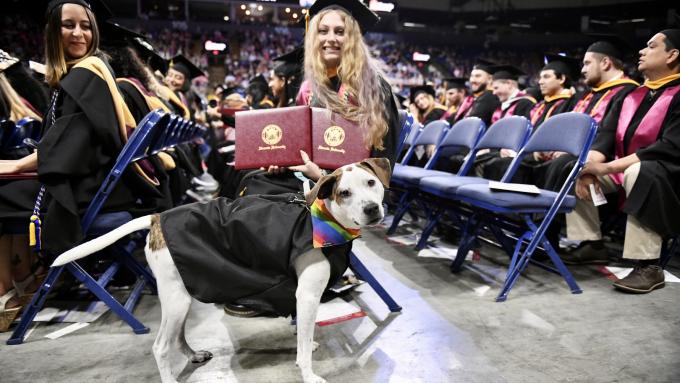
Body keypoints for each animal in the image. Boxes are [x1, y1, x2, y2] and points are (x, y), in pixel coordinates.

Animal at [51, 158, 394, 383]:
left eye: (371, 183)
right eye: (344, 193)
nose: (372, 209)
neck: (323, 220)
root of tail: (157, 218)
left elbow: (303, 330)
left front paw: (306, 343)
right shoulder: (307, 294)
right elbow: (304, 341)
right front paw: (308, 373)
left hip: (181, 296)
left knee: (177, 336)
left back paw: (193, 355)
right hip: (176, 299)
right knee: (160, 346)